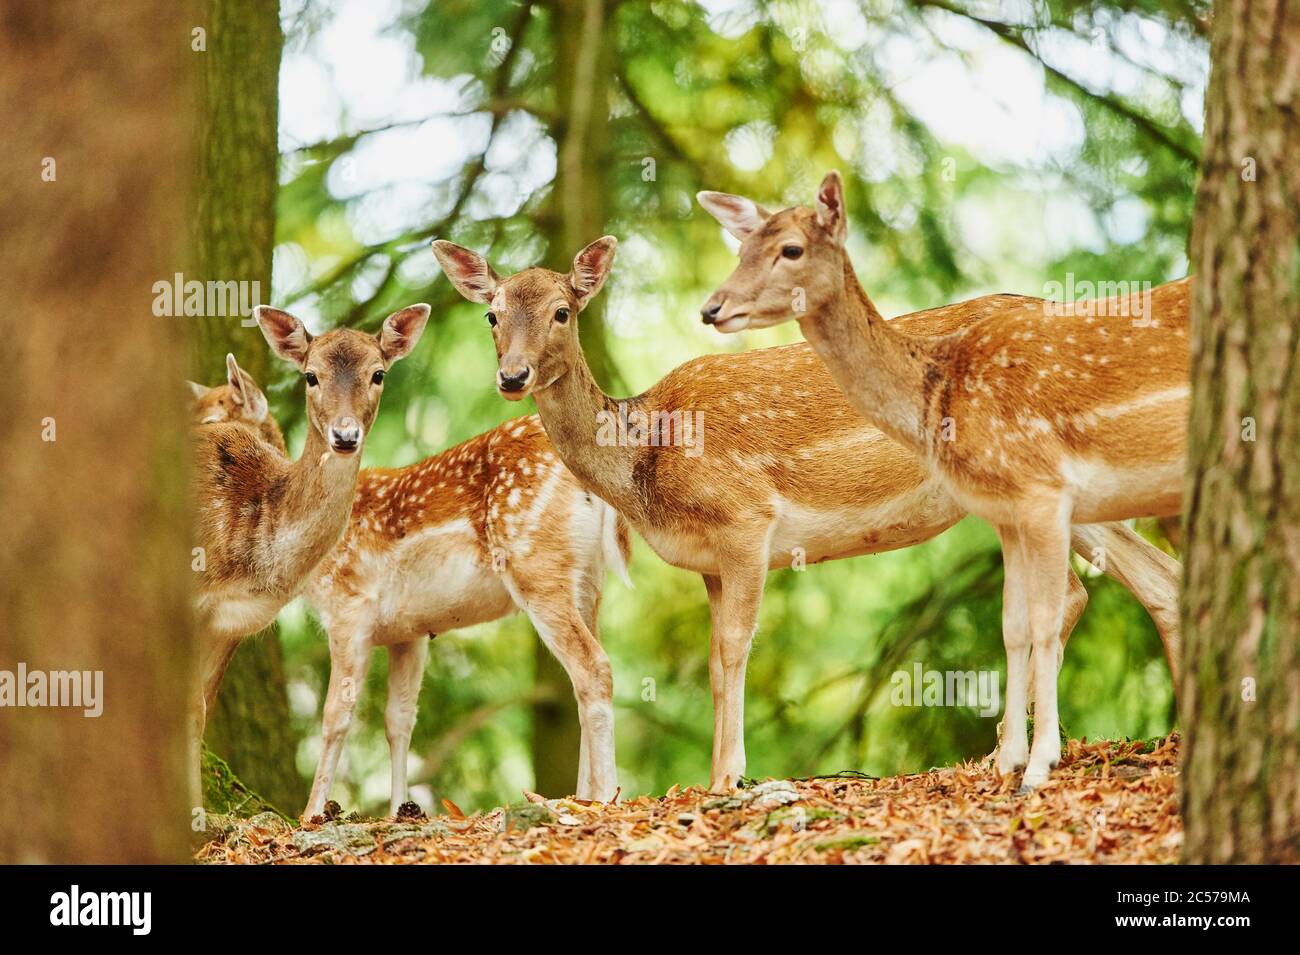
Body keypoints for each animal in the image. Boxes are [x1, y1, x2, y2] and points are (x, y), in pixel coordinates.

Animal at [300, 415, 634, 815]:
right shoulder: (408, 633)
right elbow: (399, 720)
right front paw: (400, 811)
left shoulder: (348, 607)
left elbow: (335, 715)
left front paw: (311, 813)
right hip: (587, 580)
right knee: (583, 675)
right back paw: (581, 796)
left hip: (536, 565)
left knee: (593, 666)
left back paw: (604, 798)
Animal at [431, 235, 1185, 789]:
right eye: (491, 313)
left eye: (563, 310)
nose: (512, 376)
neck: (647, 457)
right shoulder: (706, 563)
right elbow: (715, 660)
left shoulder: (745, 521)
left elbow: (735, 648)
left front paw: (727, 777)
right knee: (1132, 582)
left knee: (1102, 586)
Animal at [702, 174, 1190, 789]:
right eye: (740, 247)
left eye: (790, 249)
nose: (711, 308)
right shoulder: (1007, 511)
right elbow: (1013, 624)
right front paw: (1008, 761)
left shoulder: (1042, 490)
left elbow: (1045, 617)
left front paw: (1038, 765)